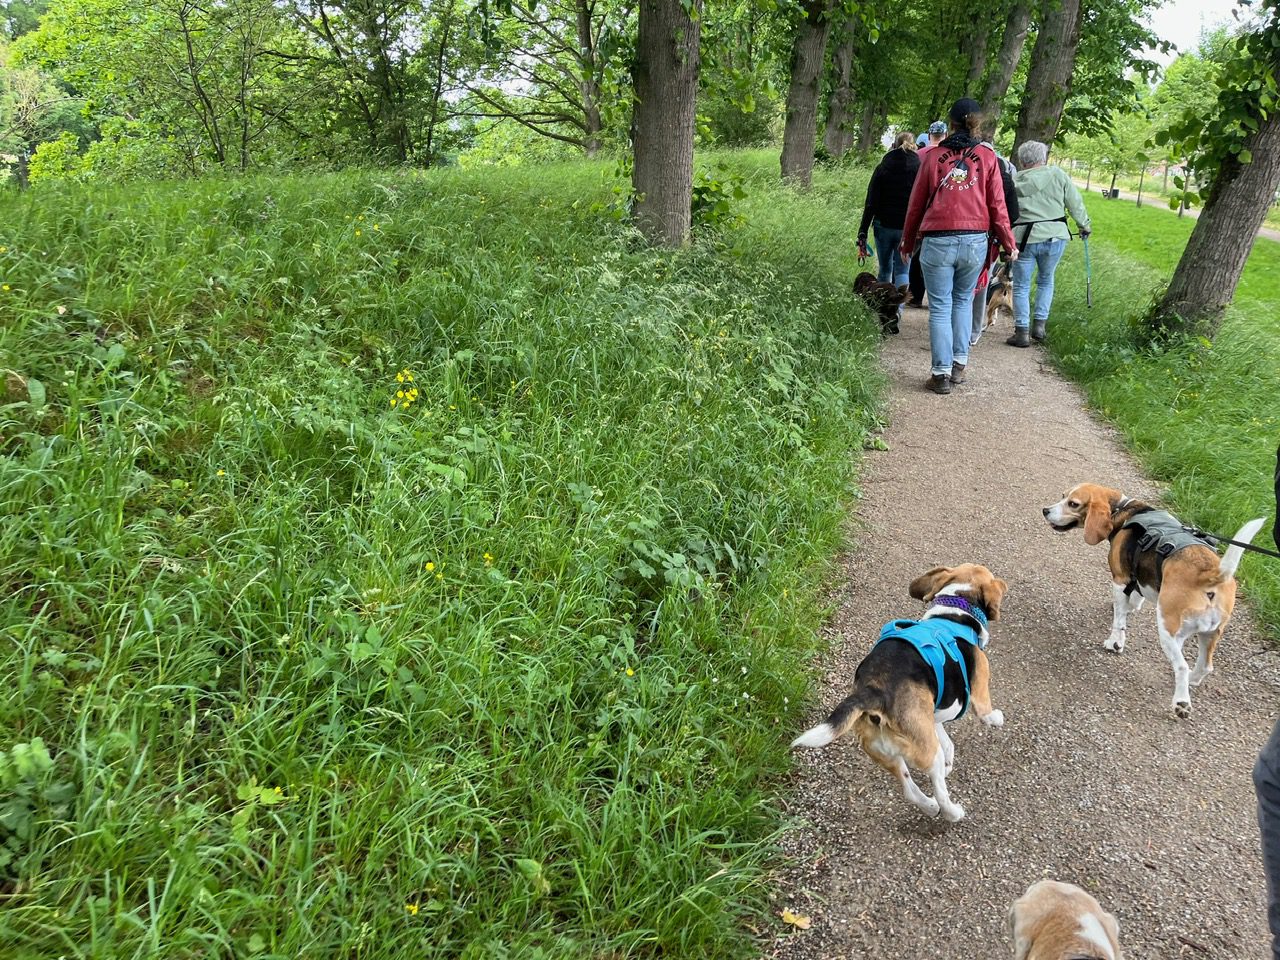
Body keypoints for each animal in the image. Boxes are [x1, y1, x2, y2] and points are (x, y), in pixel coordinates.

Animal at [791, 564, 1008, 822]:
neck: (957, 606)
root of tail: (873, 690)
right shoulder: (979, 694)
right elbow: (986, 714)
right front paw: (997, 718)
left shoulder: (932, 716)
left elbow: (948, 743)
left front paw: (949, 762)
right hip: (927, 753)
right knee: (939, 791)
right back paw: (952, 812)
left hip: (887, 751)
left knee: (909, 790)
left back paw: (929, 805)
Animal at [1042, 483, 1266, 718]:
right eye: (1063, 496)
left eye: (1073, 503)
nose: (1045, 510)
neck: (1123, 509)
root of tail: (1211, 574)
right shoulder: (1137, 582)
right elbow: (1132, 601)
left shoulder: (1120, 579)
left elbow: (1119, 620)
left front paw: (1115, 642)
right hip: (1210, 633)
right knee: (1205, 666)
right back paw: (1192, 681)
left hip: (1168, 629)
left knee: (1182, 666)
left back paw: (1181, 702)